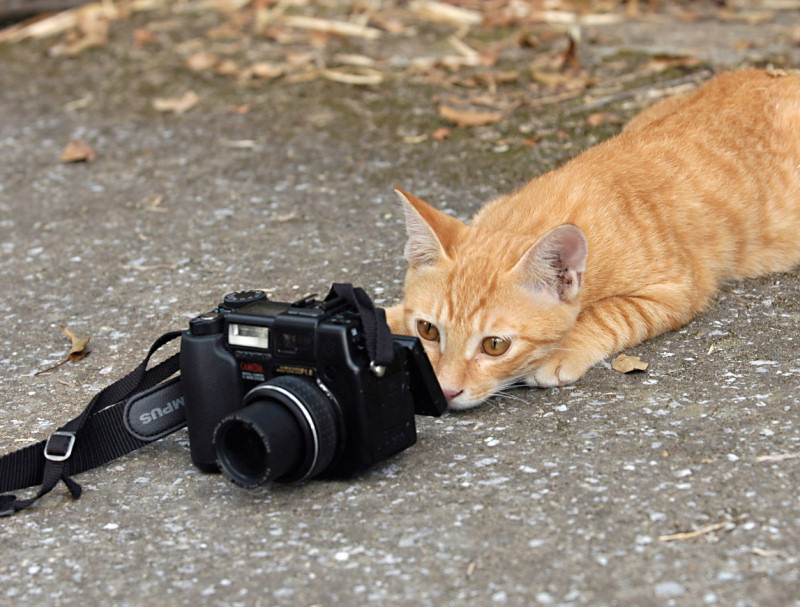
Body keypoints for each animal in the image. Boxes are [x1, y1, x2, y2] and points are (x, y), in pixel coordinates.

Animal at [384, 70, 800, 414]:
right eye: (427, 330)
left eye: (494, 345)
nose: (446, 391)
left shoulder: (678, 289)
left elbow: (608, 312)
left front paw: (562, 349)